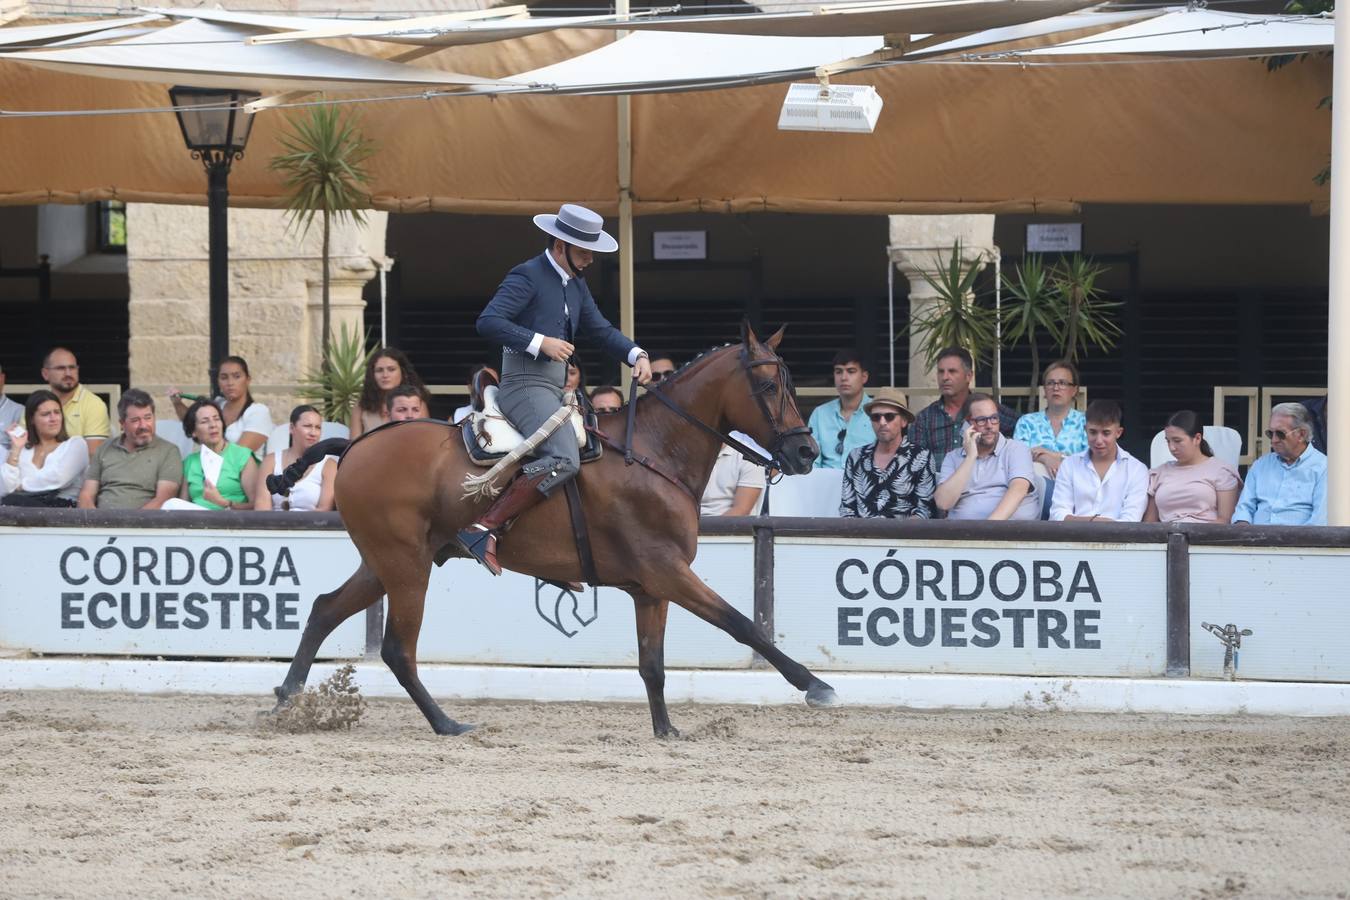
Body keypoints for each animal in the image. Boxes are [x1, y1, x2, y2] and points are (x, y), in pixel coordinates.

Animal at [272, 323, 837, 739]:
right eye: (769, 386)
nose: (805, 451)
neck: (653, 451)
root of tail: (353, 446)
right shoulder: (667, 571)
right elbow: (743, 625)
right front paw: (814, 685)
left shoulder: (650, 588)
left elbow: (652, 663)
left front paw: (665, 729)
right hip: (405, 566)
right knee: (396, 649)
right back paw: (446, 723)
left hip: (386, 562)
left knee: (325, 609)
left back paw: (287, 699)